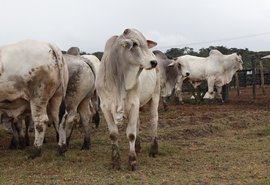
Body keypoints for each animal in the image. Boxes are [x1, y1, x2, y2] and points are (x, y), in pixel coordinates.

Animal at [96, 27, 160, 171]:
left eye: (145, 43)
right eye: (134, 44)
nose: (153, 62)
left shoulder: (134, 103)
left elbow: (130, 134)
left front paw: (132, 161)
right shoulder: (105, 107)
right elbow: (113, 134)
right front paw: (115, 162)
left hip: (155, 96)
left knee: (154, 120)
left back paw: (153, 149)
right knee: (138, 123)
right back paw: (138, 146)